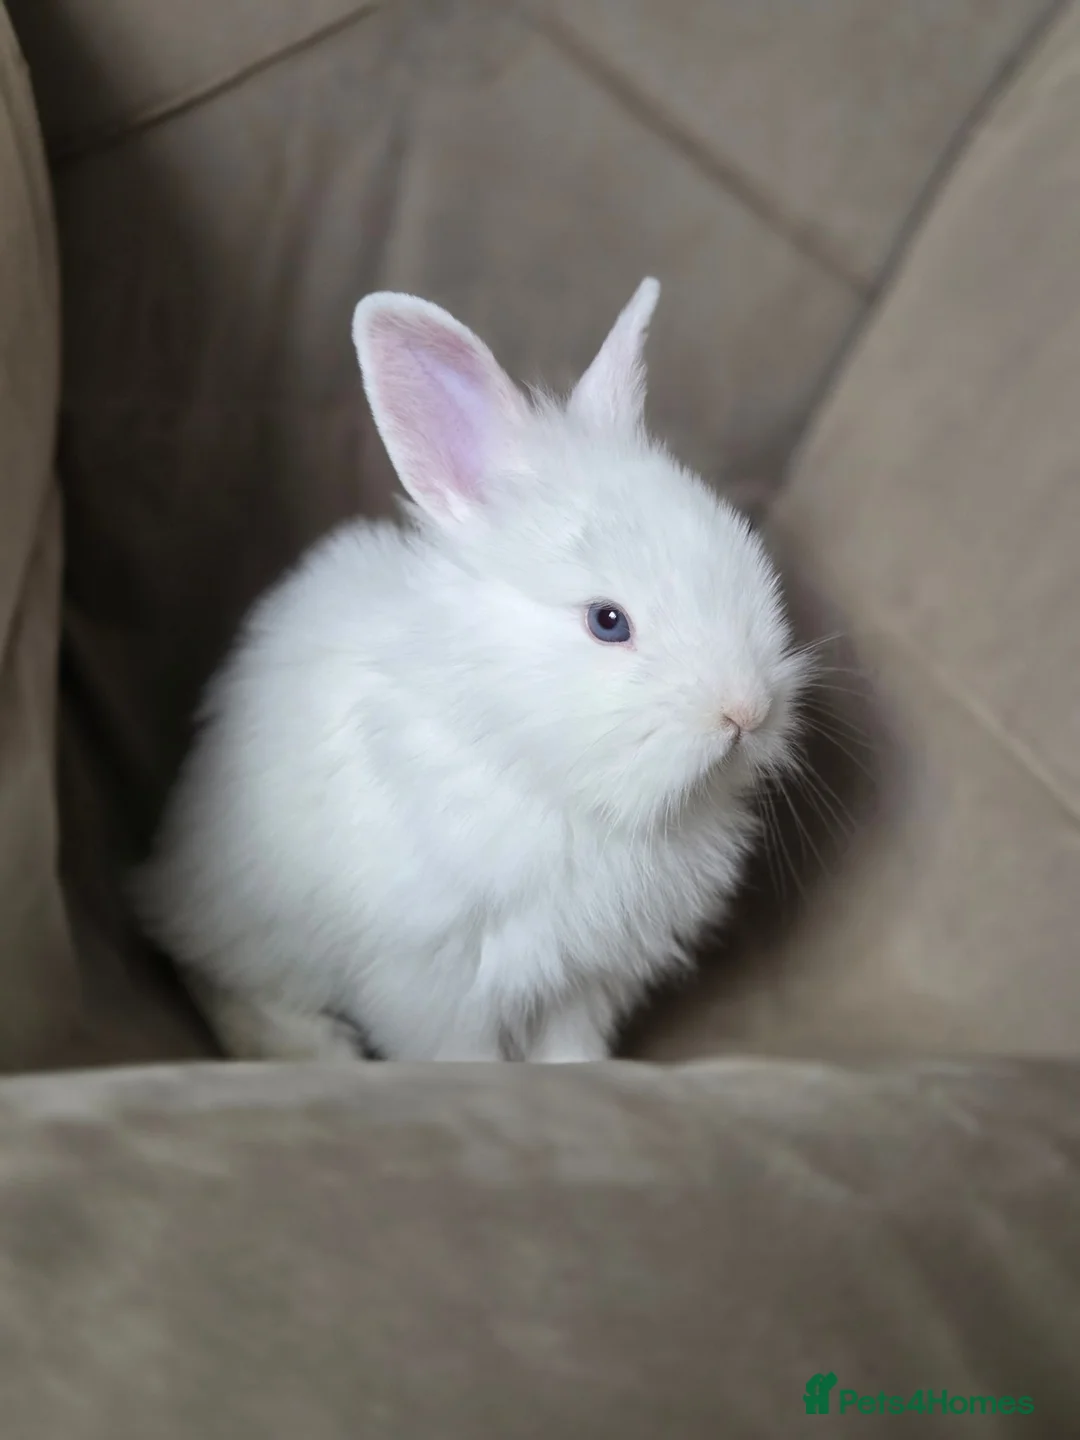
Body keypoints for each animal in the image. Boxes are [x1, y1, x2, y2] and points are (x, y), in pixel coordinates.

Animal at [132, 277, 808, 1063]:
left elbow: (571, 1048)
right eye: (608, 621)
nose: (747, 712)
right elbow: (460, 1059)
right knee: (212, 975)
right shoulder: (430, 980)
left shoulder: (588, 976)